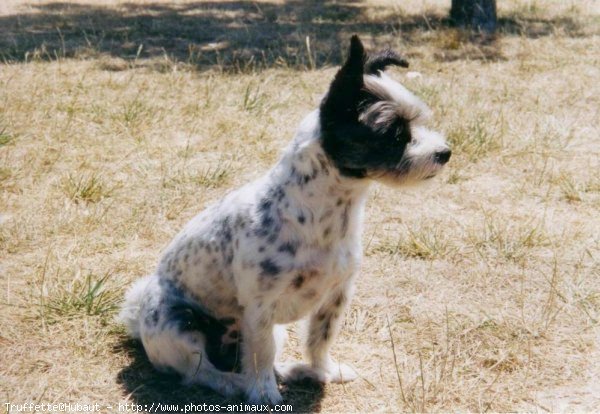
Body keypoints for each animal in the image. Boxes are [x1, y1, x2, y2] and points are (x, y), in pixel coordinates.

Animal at [119, 35, 452, 404]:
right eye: (394, 134)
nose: (444, 153)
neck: (325, 217)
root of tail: (136, 320)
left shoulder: (335, 297)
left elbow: (319, 340)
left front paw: (323, 371)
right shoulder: (260, 309)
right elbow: (260, 355)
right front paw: (264, 395)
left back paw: (292, 371)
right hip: (181, 326)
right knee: (202, 372)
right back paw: (235, 383)